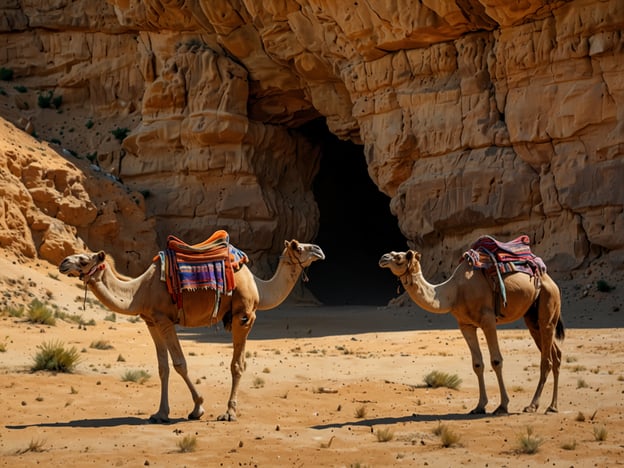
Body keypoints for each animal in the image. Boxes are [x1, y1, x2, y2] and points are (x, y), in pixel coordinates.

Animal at [58, 239, 326, 422]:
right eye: (299, 247)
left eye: (84, 260)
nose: (63, 263)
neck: (139, 291)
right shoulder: (151, 320)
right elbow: (163, 367)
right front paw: (160, 413)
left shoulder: (170, 319)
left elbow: (183, 364)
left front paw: (198, 408)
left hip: (242, 316)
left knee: (237, 365)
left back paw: (229, 413)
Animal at [378, 243, 564, 414]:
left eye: (399, 257)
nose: (383, 258)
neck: (453, 293)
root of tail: (551, 281)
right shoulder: (465, 325)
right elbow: (477, 364)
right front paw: (480, 406)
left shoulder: (488, 320)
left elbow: (496, 361)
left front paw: (502, 406)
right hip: (531, 317)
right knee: (555, 355)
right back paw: (552, 406)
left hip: (548, 303)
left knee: (547, 358)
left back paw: (533, 405)